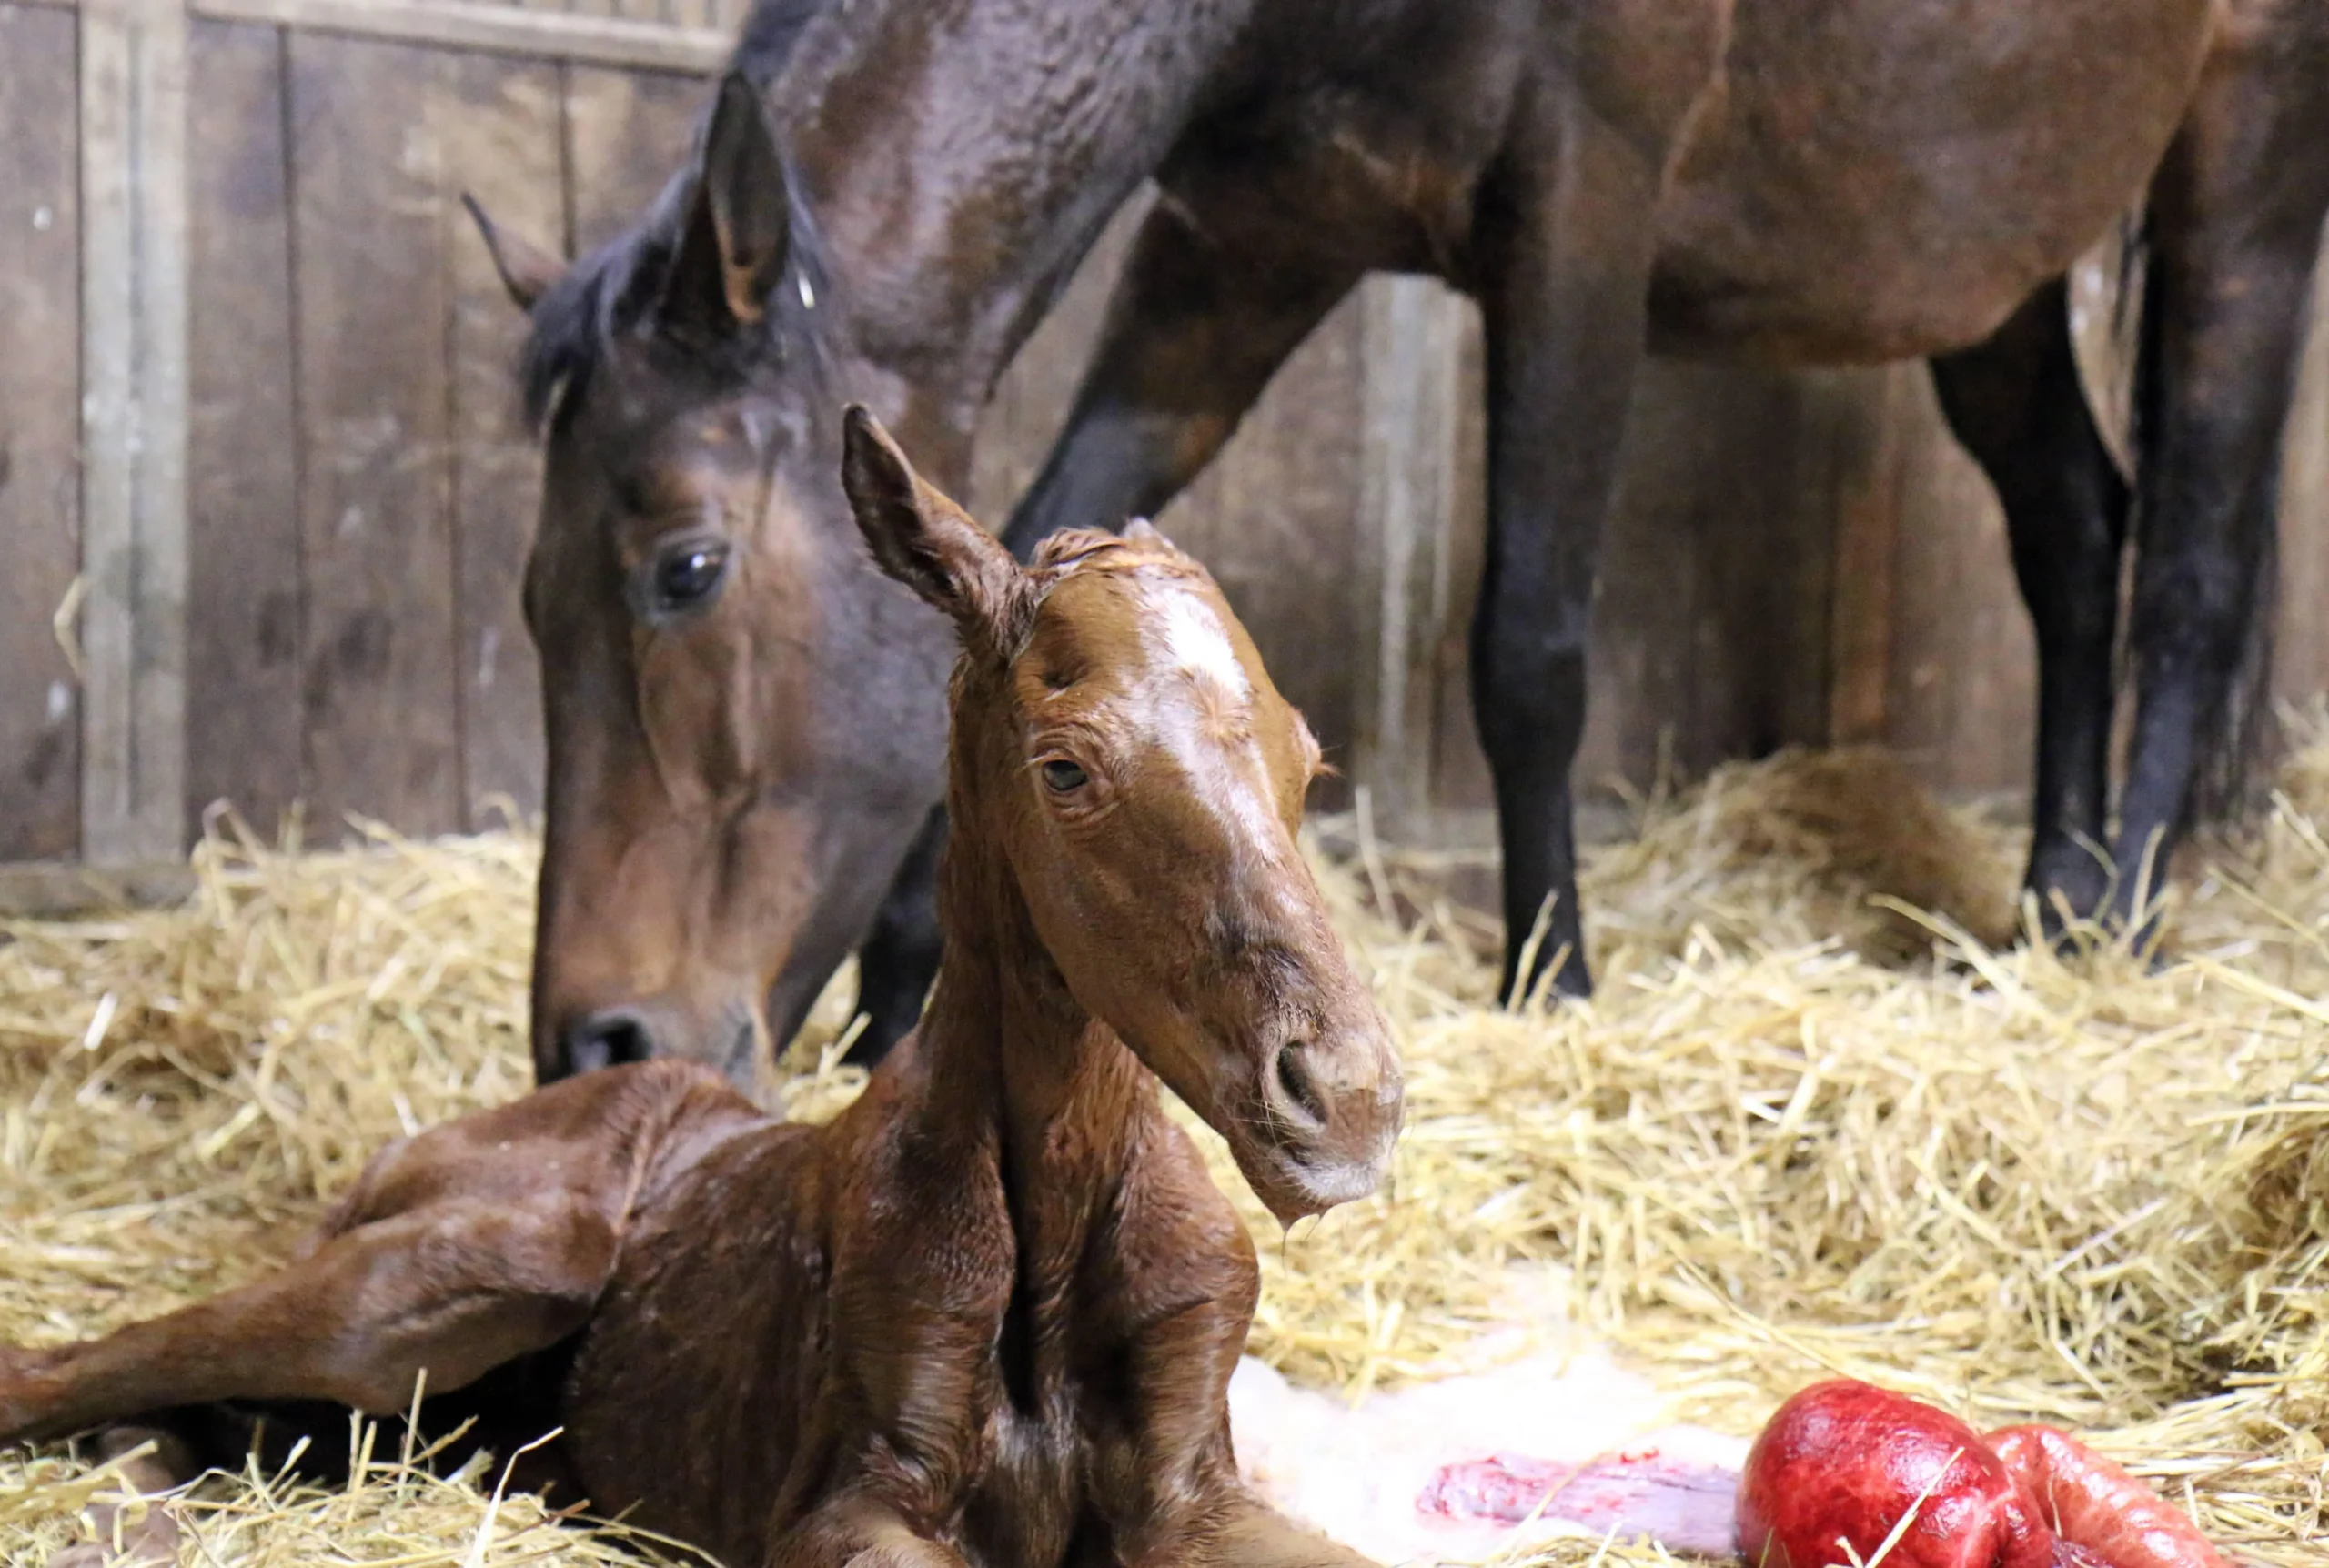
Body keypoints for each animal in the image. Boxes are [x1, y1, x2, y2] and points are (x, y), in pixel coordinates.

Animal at [5, 407, 1397, 1565]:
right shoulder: (853, 1496)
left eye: (1308, 761)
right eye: (1065, 766)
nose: (1349, 1100)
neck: (1050, 1215)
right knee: (78, 1365)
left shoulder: (1192, 1484)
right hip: (444, 1276)